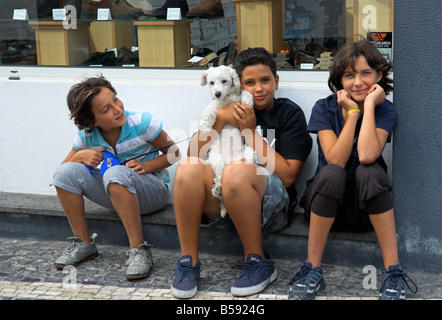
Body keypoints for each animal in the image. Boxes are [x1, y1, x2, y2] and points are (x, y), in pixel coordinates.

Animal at [199, 65, 258, 218]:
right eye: (211, 83)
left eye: (224, 81)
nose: (217, 93)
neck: (226, 98)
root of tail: (229, 162)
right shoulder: (215, 105)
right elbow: (209, 110)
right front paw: (205, 125)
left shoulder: (236, 98)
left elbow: (246, 93)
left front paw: (248, 101)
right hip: (216, 159)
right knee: (219, 178)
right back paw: (218, 190)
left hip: (248, 150)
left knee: (248, 159)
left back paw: (243, 160)